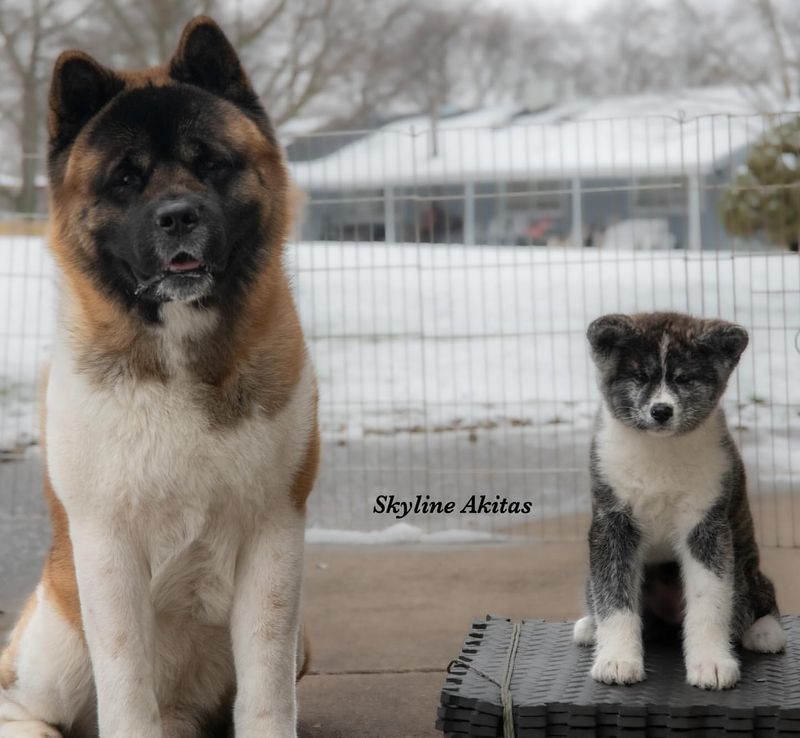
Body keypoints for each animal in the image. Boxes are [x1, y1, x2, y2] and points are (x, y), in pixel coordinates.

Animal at [0, 15, 318, 736]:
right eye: (125, 178)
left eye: (210, 163)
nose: (178, 215)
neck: (177, 349)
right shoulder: (107, 549)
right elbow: (125, 681)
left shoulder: (275, 540)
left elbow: (264, 686)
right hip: (57, 643)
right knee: (27, 702)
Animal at [572, 312, 784, 688]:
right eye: (640, 376)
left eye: (684, 378)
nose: (661, 411)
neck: (659, 451)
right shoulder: (612, 525)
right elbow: (613, 597)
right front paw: (617, 660)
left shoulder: (707, 527)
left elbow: (709, 601)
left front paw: (712, 664)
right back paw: (588, 627)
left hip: (746, 571)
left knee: (762, 596)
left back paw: (765, 633)